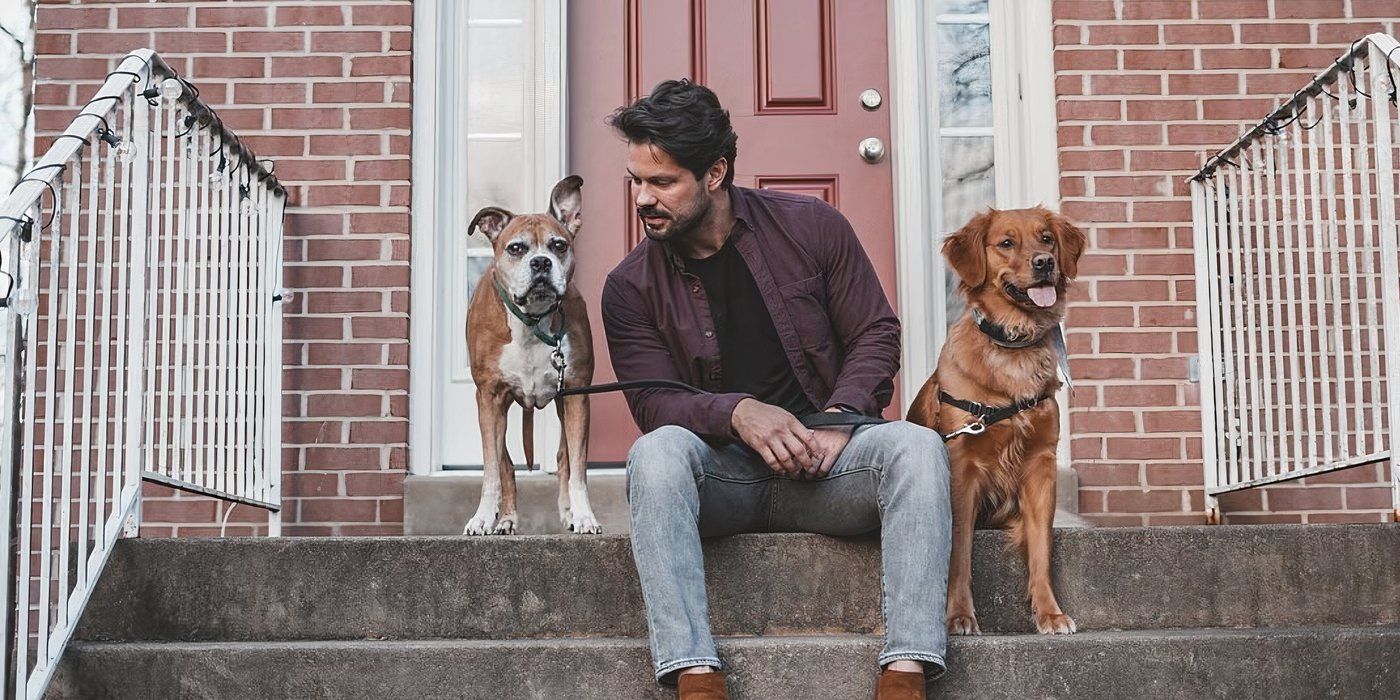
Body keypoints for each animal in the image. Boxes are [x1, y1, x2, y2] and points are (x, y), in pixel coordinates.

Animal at [462, 176, 599, 534]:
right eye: (516, 248)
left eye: (559, 246)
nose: (541, 262)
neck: (531, 321)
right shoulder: (489, 398)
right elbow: (491, 471)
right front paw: (483, 517)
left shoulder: (576, 395)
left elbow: (577, 468)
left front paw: (583, 515)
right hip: (497, 409)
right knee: (505, 464)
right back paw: (506, 519)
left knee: (564, 459)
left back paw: (567, 513)